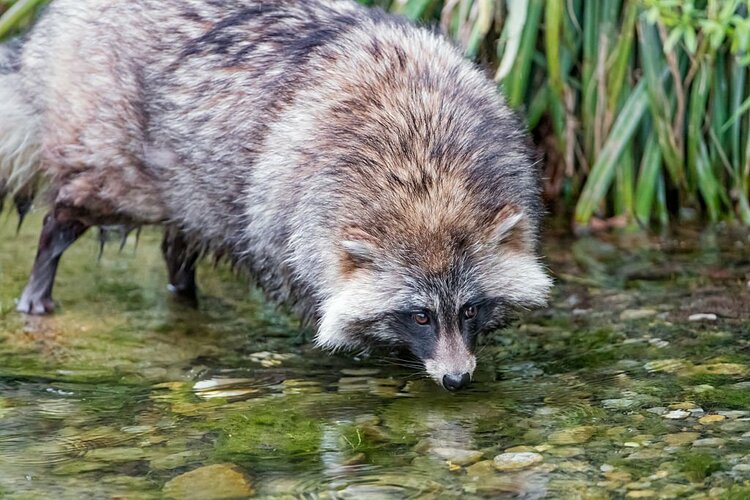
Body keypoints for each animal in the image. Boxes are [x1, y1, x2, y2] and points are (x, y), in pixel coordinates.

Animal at [0, 0, 552, 390]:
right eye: (420, 315)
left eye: (469, 310)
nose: (457, 380)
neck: (425, 165)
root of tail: (59, 22)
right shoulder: (292, 230)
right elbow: (320, 306)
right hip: (119, 163)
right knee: (72, 210)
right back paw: (44, 269)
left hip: (197, 189)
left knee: (179, 242)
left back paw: (185, 293)